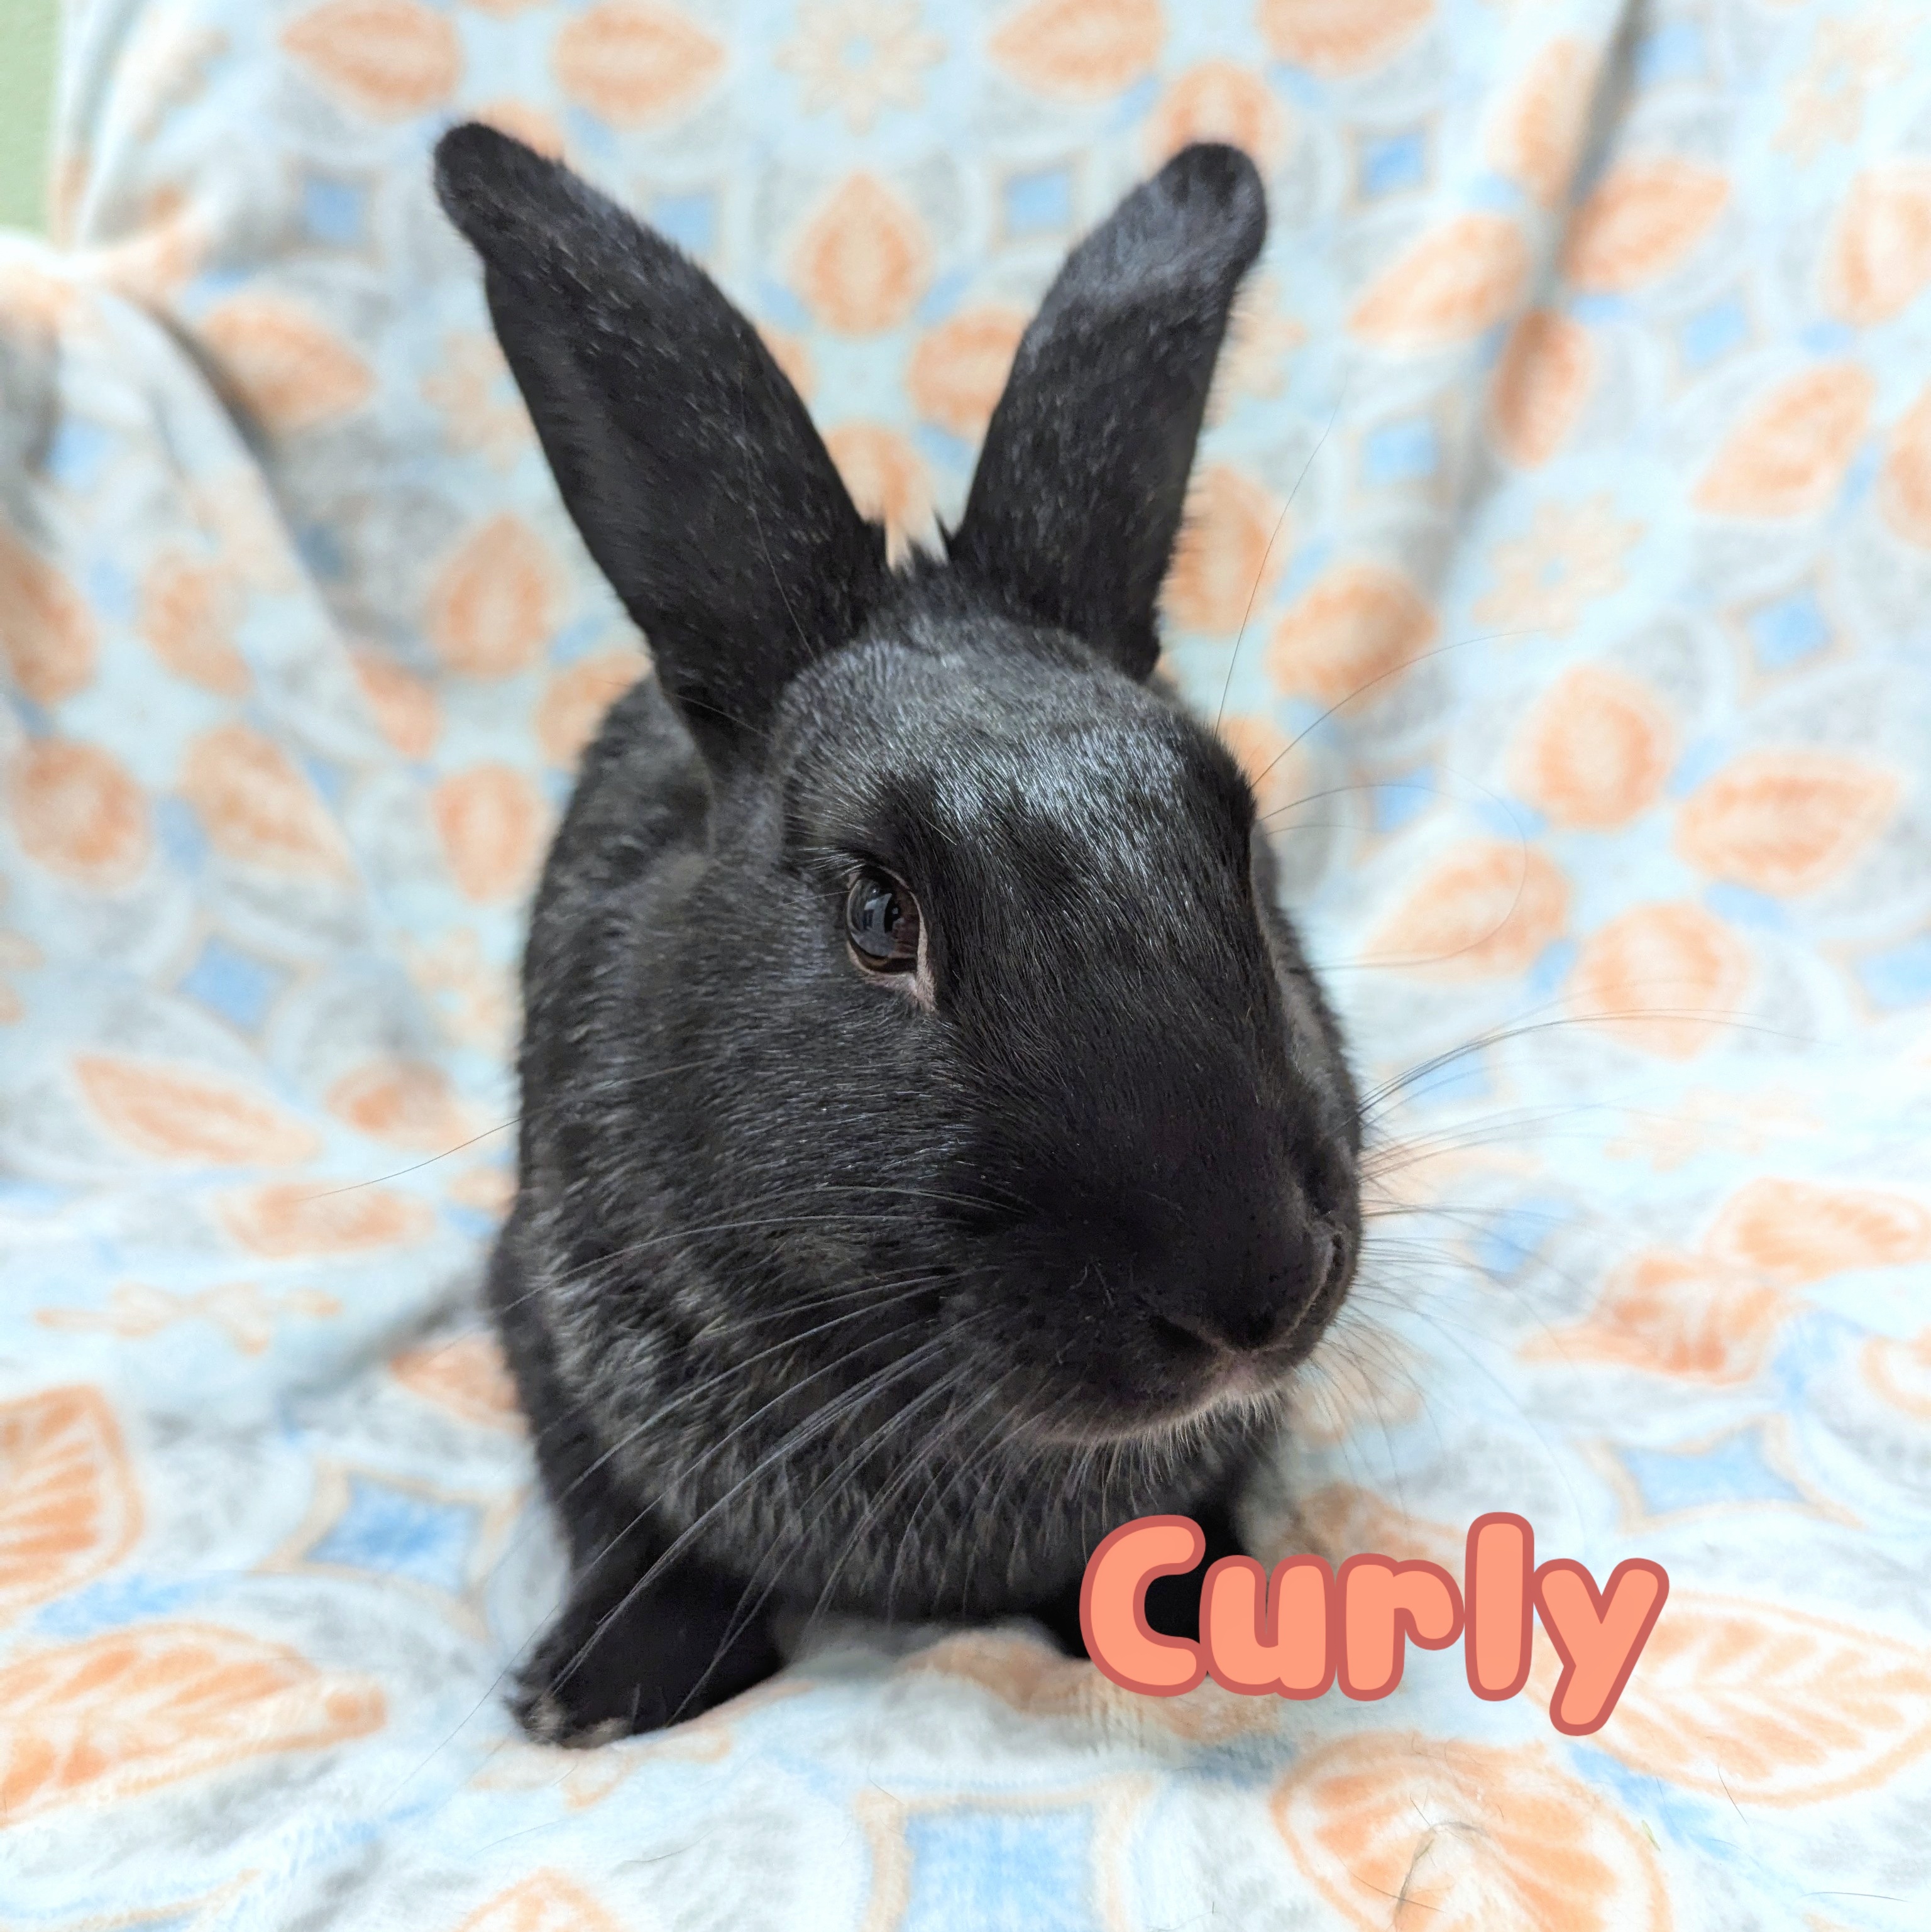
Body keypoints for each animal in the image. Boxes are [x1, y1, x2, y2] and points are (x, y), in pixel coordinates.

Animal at [433, 122, 1362, 1743]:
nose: (1253, 1292)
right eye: (880, 915)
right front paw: (599, 1689)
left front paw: (1203, 1620)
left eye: (1239, 846)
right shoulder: (538, 1308)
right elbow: (624, 1516)